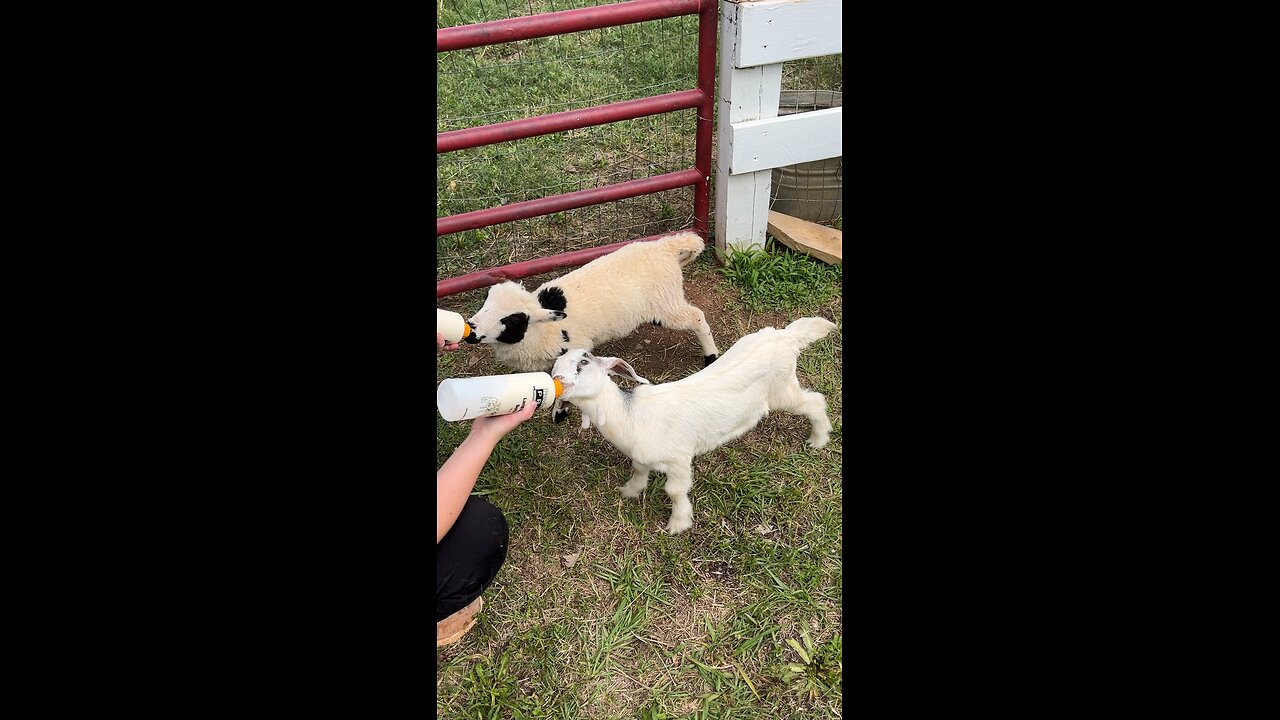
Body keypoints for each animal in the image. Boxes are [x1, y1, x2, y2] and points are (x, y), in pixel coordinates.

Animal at [552, 313, 839, 532]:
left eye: (583, 362)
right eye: (555, 366)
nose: (557, 381)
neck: (630, 416)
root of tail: (784, 337)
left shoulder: (679, 457)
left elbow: (675, 490)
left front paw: (678, 524)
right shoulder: (642, 454)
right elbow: (638, 470)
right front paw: (630, 491)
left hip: (782, 391)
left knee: (814, 402)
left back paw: (818, 439)